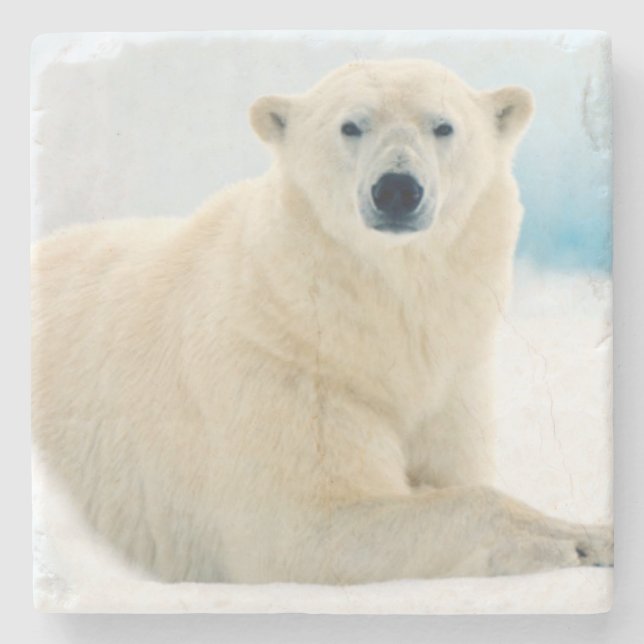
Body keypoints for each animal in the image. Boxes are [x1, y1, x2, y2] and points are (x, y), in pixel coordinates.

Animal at [31, 59, 613, 584]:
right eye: (351, 125)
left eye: (443, 125)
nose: (397, 189)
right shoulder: (284, 370)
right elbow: (307, 523)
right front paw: (576, 542)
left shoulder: (452, 383)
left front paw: (591, 532)